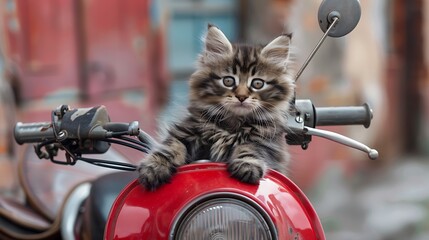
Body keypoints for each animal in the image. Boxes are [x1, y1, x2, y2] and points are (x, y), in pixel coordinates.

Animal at [138, 23, 294, 189]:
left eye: (257, 83)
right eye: (228, 81)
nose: (242, 97)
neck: (232, 124)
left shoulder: (267, 142)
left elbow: (250, 148)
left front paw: (247, 165)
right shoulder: (185, 132)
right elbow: (170, 147)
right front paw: (154, 167)